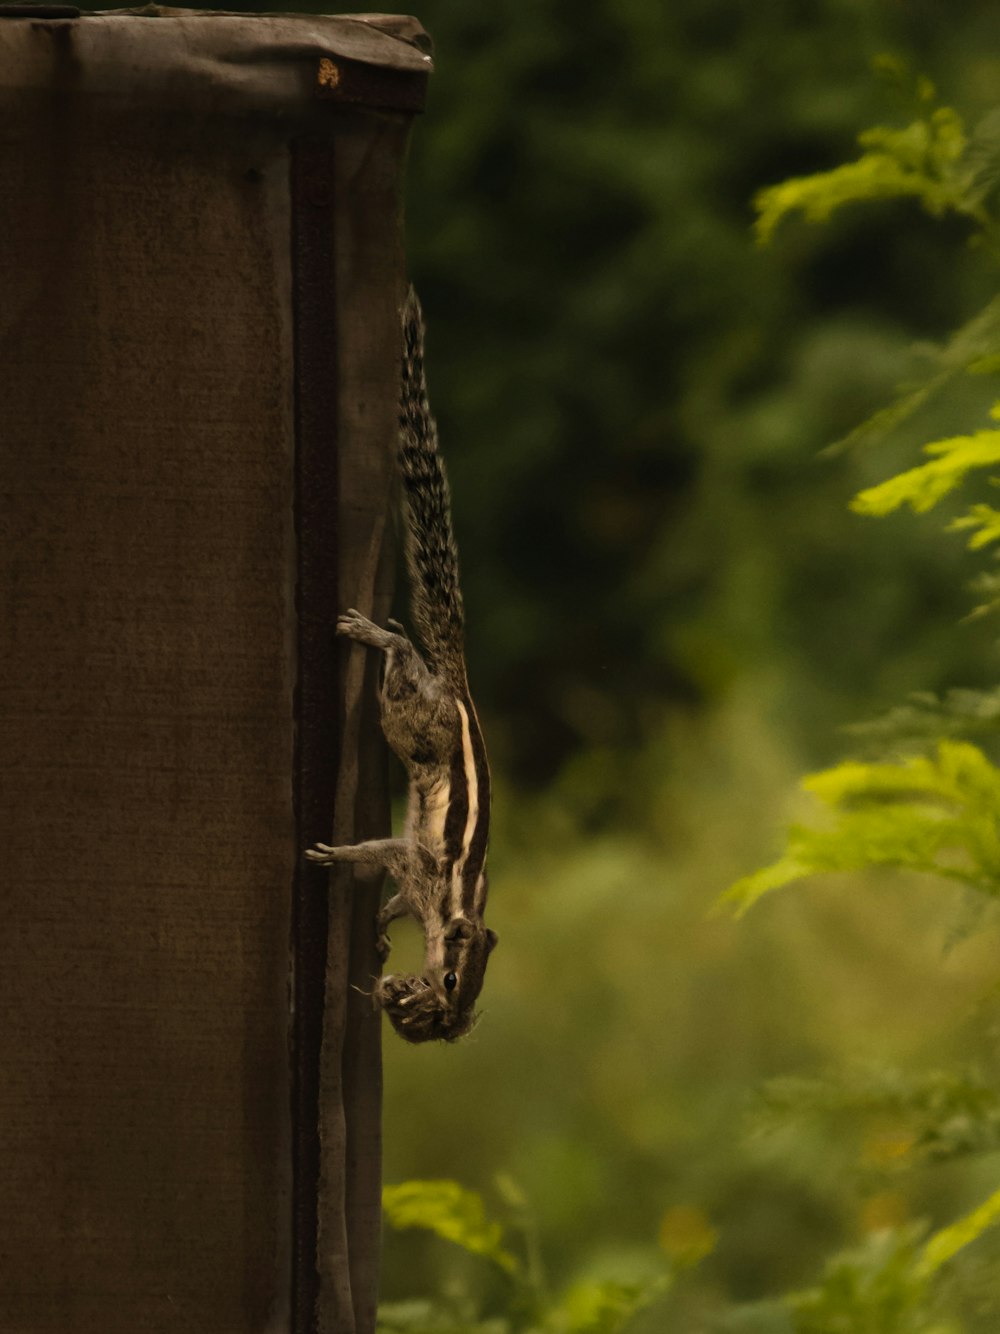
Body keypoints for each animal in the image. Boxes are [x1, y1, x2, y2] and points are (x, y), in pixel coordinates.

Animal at [304, 289, 496, 1040]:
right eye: (450, 980)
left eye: (466, 1003)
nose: (445, 1020)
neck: (452, 909)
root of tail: (461, 692)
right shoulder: (418, 865)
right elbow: (380, 854)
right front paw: (336, 855)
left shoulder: (419, 888)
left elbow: (391, 902)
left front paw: (383, 927)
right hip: (414, 726)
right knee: (401, 673)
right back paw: (378, 636)